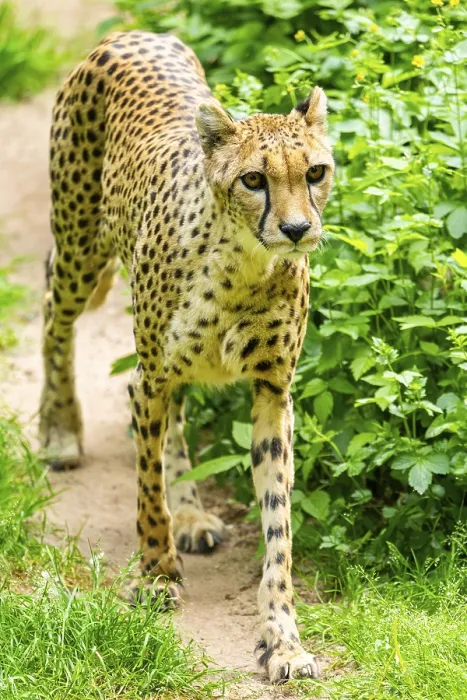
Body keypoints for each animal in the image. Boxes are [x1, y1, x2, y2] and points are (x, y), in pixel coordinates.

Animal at [39, 30, 334, 683]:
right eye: (254, 180)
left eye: (316, 172)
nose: (297, 229)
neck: (244, 265)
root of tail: (132, 34)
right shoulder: (148, 377)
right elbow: (147, 489)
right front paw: (156, 575)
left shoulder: (273, 394)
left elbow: (279, 528)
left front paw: (283, 639)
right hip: (79, 248)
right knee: (52, 311)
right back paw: (59, 431)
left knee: (175, 415)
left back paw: (194, 516)